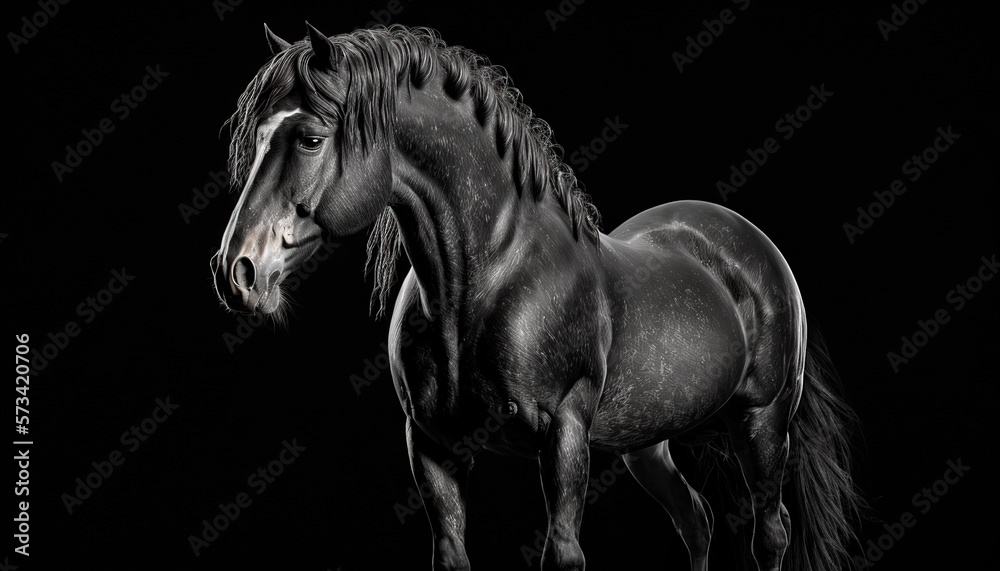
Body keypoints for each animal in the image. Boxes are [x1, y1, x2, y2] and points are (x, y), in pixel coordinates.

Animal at [210, 24, 863, 570]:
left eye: (310, 138)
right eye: (258, 137)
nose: (235, 271)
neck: (494, 275)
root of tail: (755, 246)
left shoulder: (564, 435)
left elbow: (565, 554)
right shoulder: (432, 449)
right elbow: (451, 553)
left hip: (762, 421)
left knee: (769, 532)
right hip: (647, 443)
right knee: (695, 520)